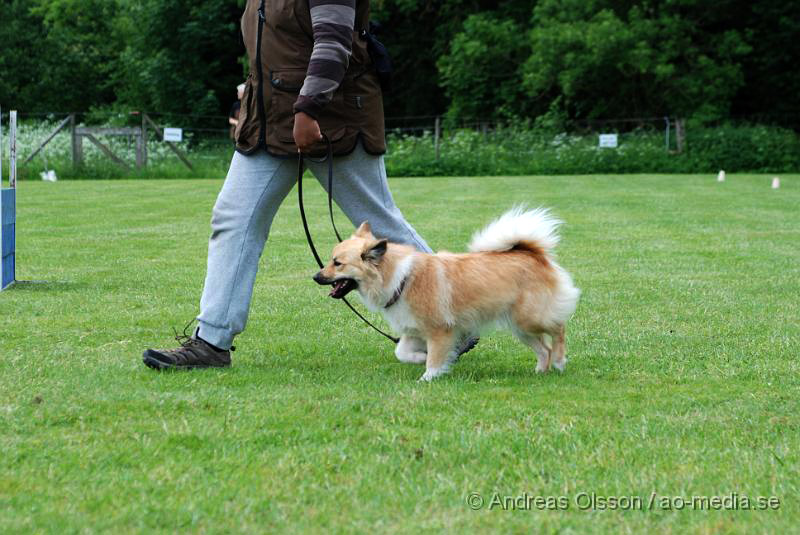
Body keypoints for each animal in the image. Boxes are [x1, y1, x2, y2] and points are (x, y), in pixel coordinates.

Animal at [312, 206, 580, 382]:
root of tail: (533, 254)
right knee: (543, 348)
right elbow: (401, 352)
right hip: (519, 327)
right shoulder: (413, 331)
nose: (316, 276)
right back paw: (541, 371)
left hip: (529, 318)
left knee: (559, 329)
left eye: (337, 263)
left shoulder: (439, 331)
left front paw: (428, 377)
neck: (400, 279)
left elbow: (434, 359)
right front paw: (419, 358)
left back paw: (559, 361)